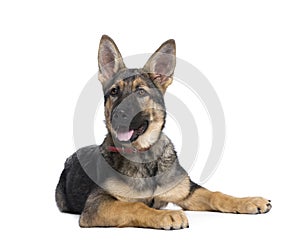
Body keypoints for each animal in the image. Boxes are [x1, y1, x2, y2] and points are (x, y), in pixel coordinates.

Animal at [55, 34, 274, 229]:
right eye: (114, 92)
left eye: (140, 91)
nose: (119, 115)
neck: (145, 156)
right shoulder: (97, 205)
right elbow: (134, 206)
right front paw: (165, 214)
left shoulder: (187, 191)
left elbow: (216, 194)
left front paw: (248, 201)